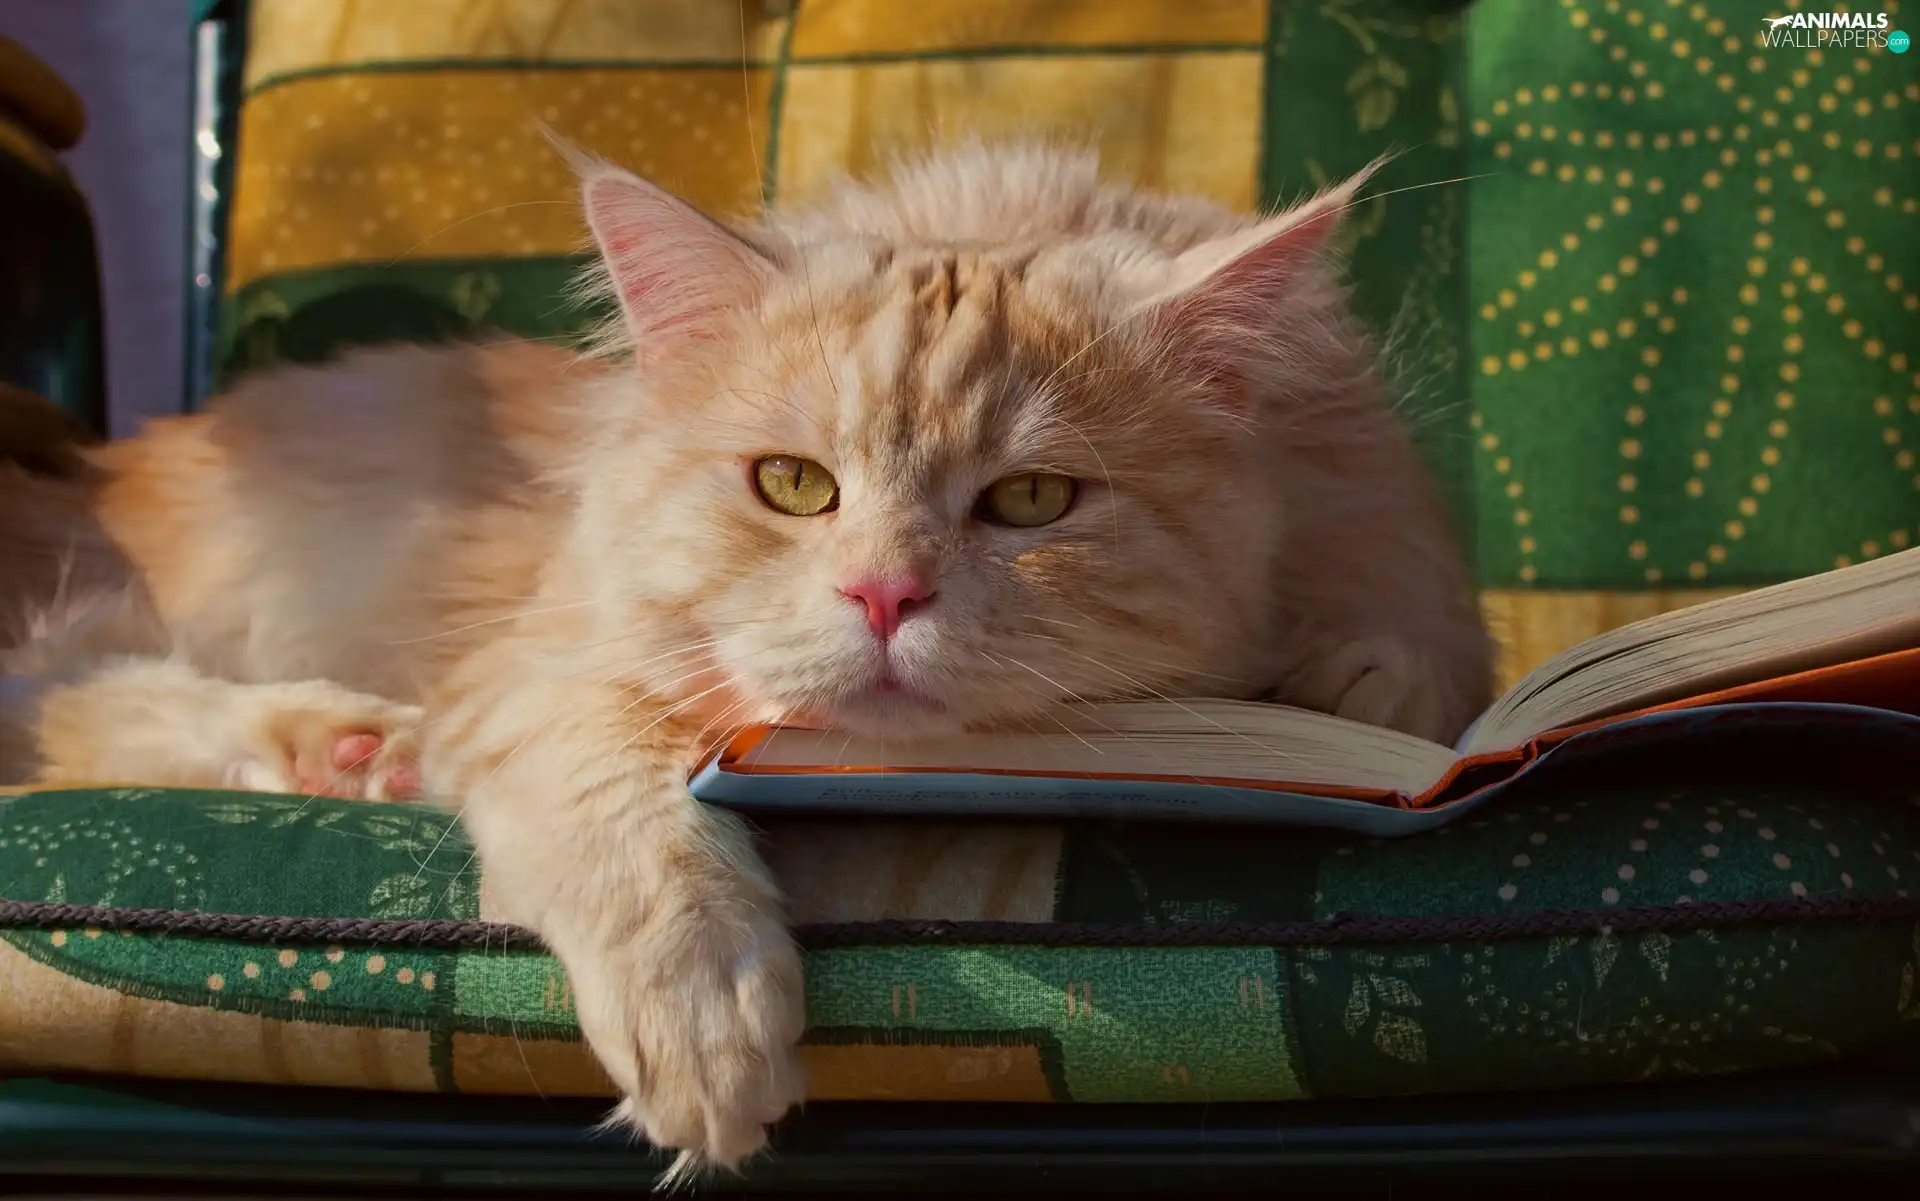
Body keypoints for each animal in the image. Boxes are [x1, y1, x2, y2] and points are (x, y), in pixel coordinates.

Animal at [0, 140, 1489, 1166]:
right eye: (792, 486)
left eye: (1030, 501)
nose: (886, 594)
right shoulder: (538, 675)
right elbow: (633, 827)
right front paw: (709, 1017)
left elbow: (1421, 671)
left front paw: (1357, 687)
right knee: (66, 702)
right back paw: (349, 746)